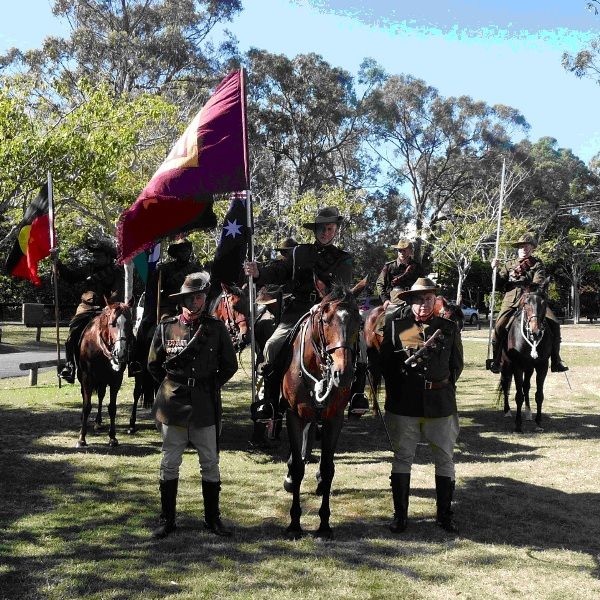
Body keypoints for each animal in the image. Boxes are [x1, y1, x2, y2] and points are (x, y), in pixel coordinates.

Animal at [77, 298, 134, 446]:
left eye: (129, 323)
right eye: (112, 323)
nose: (120, 352)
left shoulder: (116, 379)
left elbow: (112, 408)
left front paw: (112, 437)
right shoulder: (87, 378)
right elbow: (87, 406)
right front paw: (82, 438)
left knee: (101, 395)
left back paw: (98, 421)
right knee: (85, 396)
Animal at [282, 282, 360, 540]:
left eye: (358, 319)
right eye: (325, 320)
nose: (342, 374)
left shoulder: (333, 418)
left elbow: (327, 468)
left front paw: (324, 524)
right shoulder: (293, 415)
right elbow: (297, 468)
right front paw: (294, 523)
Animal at [496, 286, 552, 432]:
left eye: (544, 303)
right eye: (526, 303)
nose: (536, 332)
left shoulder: (542, 366)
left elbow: (539, 395)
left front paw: (538, 422)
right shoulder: (517, 366)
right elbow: (518, 395)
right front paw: (518, 424)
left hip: (529, 368)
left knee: (526, 386)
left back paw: (528, 412)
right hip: (506, 365)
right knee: (506, 385)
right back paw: (507, 411)